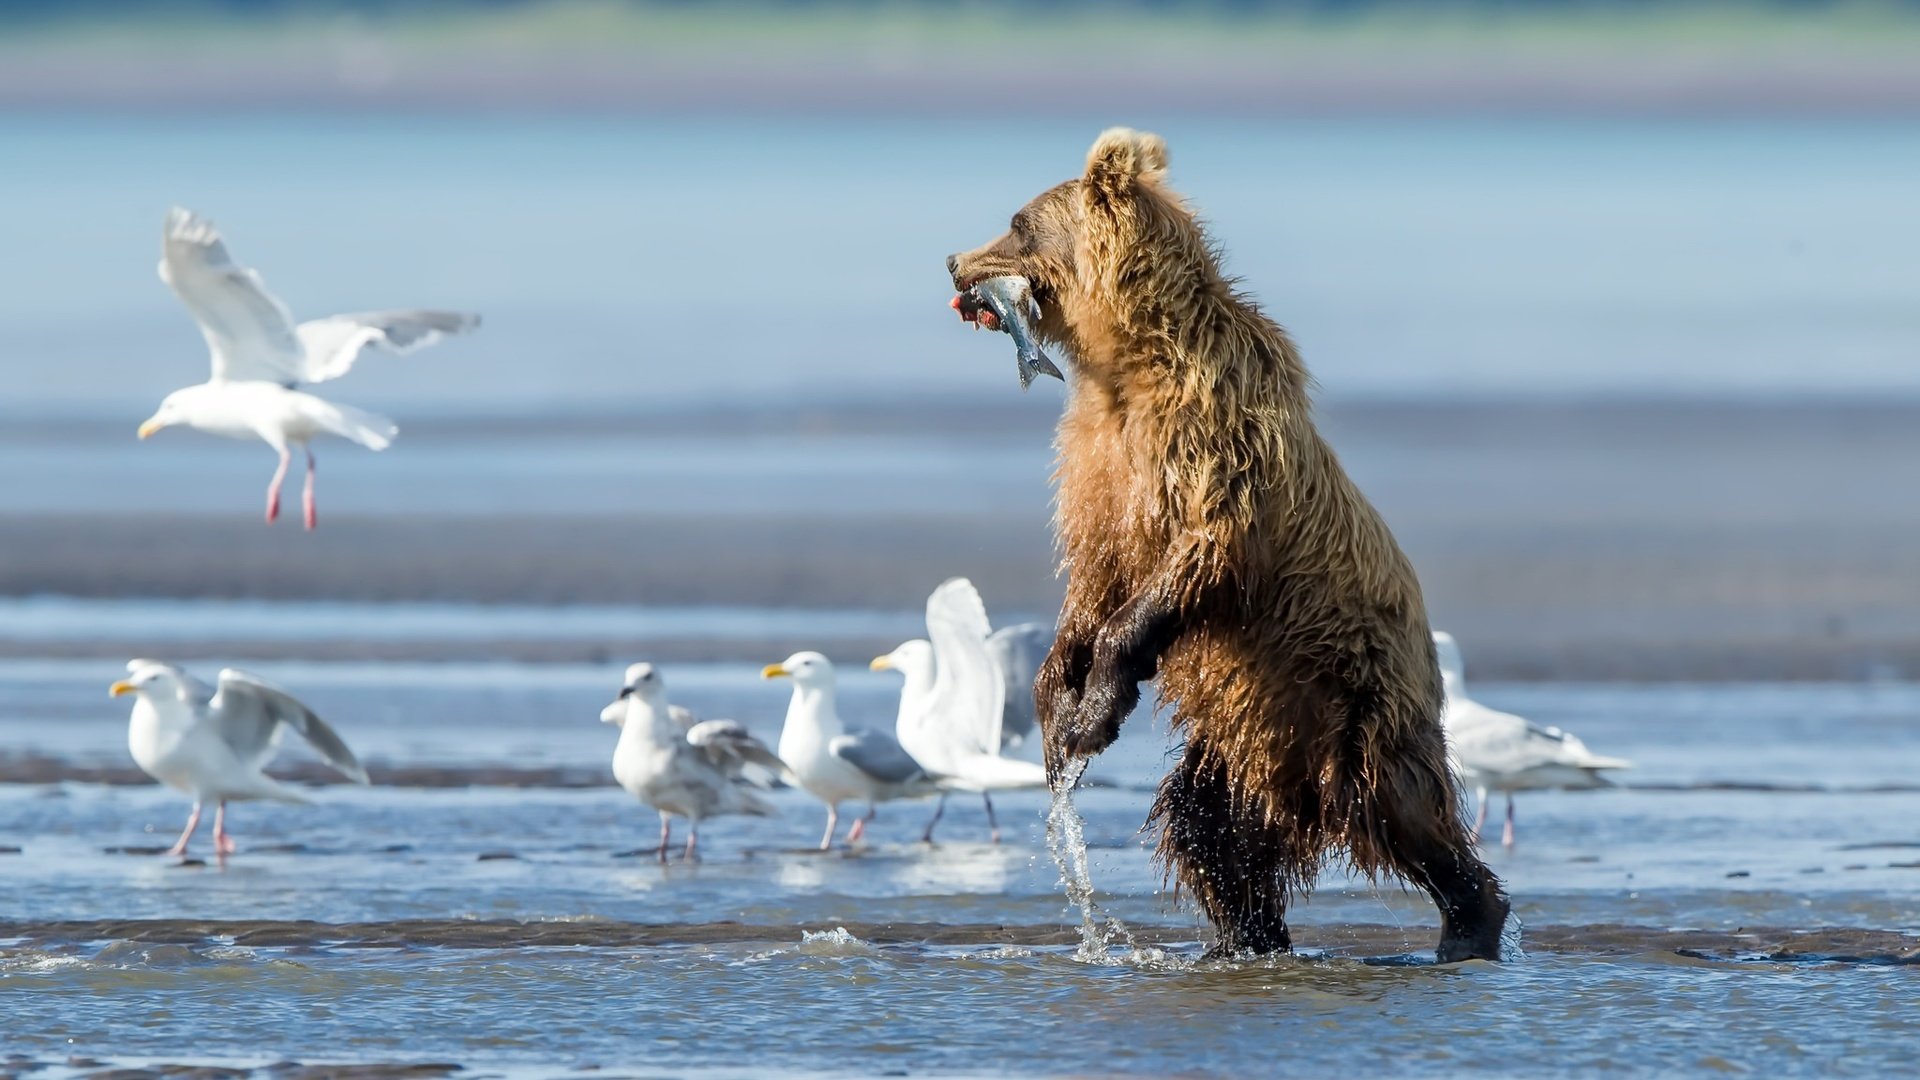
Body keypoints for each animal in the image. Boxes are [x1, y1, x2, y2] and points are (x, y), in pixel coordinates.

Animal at [948, 127, 1512, 957]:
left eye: (1017, 224)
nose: (953, 261)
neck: (1128, 365)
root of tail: (1298, 791)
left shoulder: (1215, 442)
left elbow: (1194, 560)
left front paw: (1094, 712)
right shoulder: (1098, 466)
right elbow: (1094, 577)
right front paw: (1058, 702)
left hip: (1354, 694)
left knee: (1399, 808)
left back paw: (1470, 921)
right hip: (1242, 735)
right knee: (1208, 826)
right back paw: (1245, 938)